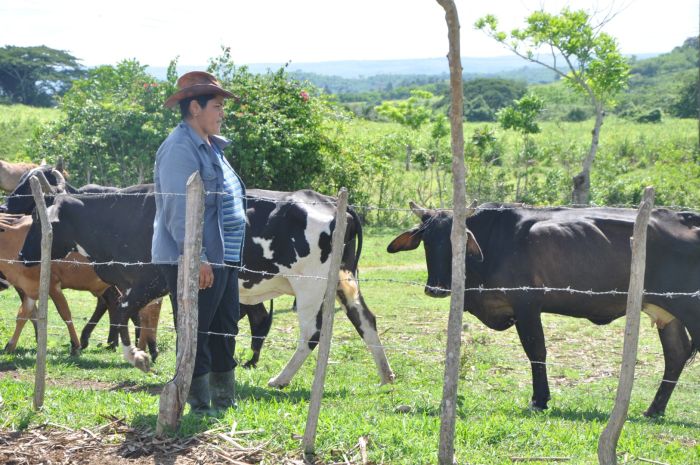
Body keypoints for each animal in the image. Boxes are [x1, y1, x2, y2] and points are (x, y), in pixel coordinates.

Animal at [392, 201, 696, 416]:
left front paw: (539, 399)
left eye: (458, 241)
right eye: (426, 241)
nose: (436, 288)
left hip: (689, 306)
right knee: (676, 354)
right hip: (667, 312)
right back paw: (654, 409)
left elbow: (536, 351)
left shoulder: (527, 305)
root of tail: (685, 217)